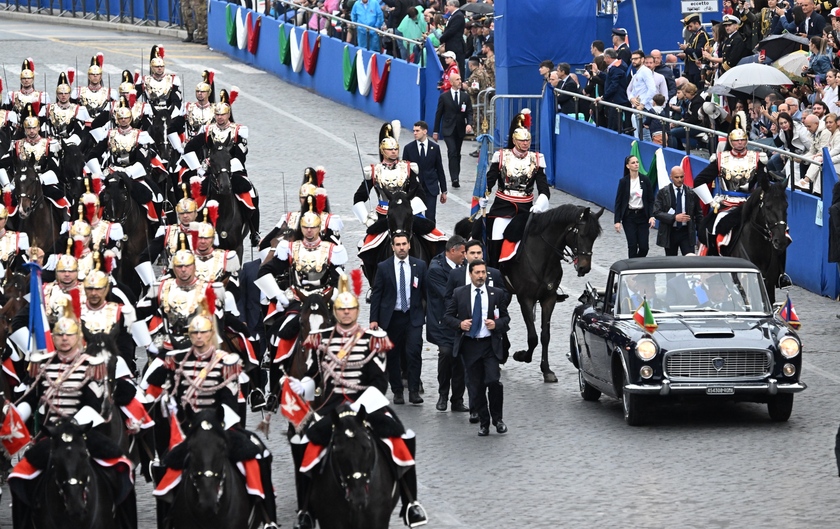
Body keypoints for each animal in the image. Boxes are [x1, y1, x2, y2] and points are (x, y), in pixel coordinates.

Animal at [456, 204, 600, 382]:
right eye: (581, 234)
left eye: (594, 237)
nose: (584, 268)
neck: (543, 255)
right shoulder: (526, 298)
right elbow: (533, 337)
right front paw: (522, 355)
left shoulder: (549, 298)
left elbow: (545, 335)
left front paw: (546, 370)